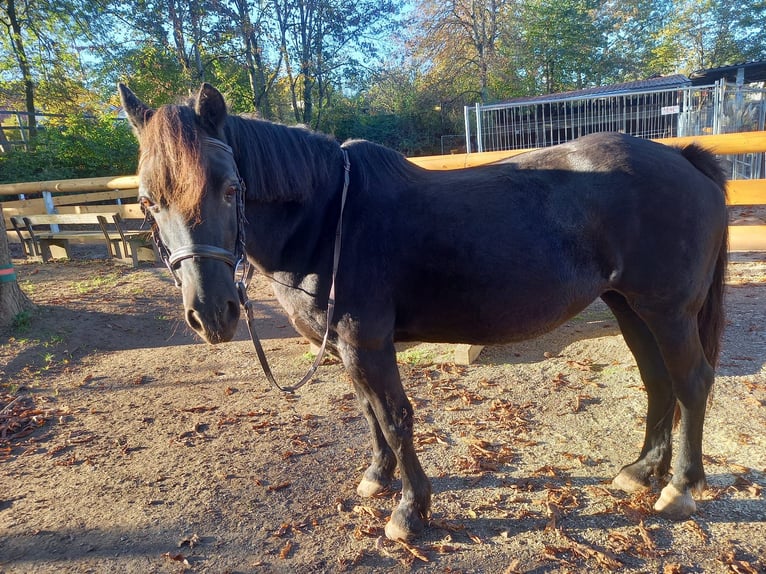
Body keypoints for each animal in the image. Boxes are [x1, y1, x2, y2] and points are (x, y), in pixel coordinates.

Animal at [120, 83, 732, 544]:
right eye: (149, 201)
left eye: (230, 189)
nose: (211, 313)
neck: (329, 219)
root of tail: (683, 157)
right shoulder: (345, 348)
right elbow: (369, 414)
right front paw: (376, 479)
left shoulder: (366, 342)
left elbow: (395, 418)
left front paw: (410, 511)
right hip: (630, 307)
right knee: (659, 383)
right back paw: (641, 472)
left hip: (668, 311)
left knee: (692, 382)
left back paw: (680, 489)